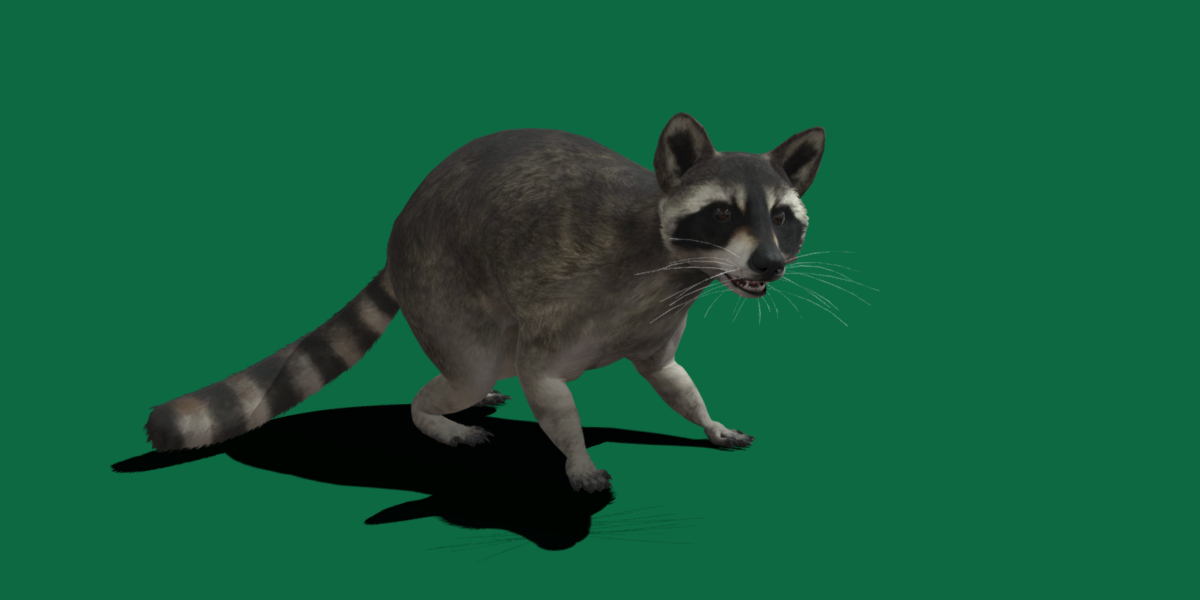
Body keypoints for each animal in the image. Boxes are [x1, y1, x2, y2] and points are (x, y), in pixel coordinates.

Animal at [143, 113, 826, 493]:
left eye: (781, 219)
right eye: (721, 214)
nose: (770, 265)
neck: (677, 270)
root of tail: (399, 230)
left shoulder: (658, 323)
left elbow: (671, 378)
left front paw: (707, 420)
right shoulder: (571, 297)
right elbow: (547, 384)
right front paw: (577, 456)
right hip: (442, 287)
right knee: (467, 370)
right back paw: (434, 414)